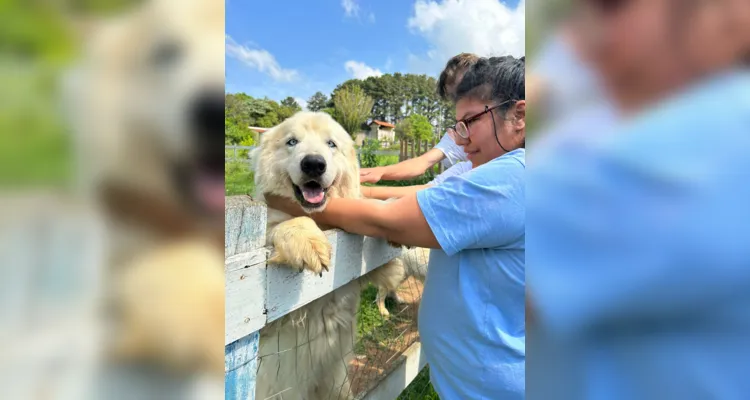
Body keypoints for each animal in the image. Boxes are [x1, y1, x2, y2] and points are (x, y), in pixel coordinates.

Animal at [253, 111, 424, 398]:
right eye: (292, 142)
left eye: (331, 144)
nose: (313, 164)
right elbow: (277, 225)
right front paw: (306, 240)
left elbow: (372, 209)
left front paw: (395, 210)